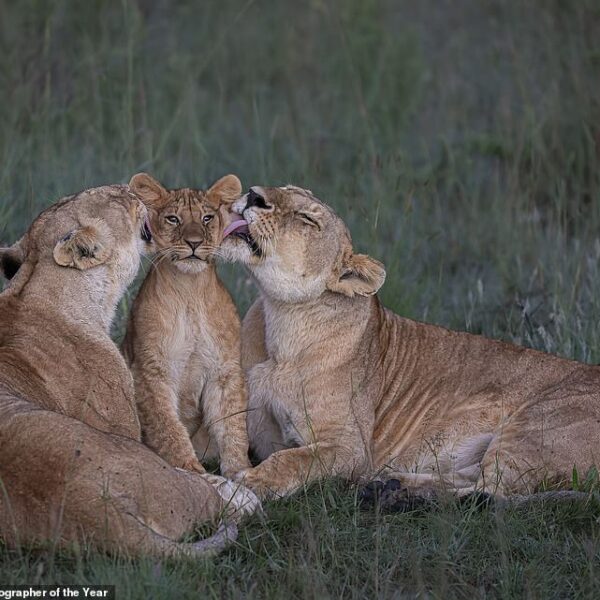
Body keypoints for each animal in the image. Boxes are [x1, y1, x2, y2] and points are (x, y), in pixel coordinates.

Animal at [122, 173, 251, 478]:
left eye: (206, 218)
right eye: (173, 219)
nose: (194, 242)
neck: (190, 292)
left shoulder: (224, 370)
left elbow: (233, 426)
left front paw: (241, 471)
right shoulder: (150, 371)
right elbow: (167, 426)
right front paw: (190, 469)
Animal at [223, 184, 600, 502]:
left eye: (307, 219)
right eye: (283, 188)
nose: (254, 195)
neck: (280, 320)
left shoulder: (350, 447)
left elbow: (293, 459)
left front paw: (251, 482)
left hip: (535, 426)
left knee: (490, 493)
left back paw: (392, 496)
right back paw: (390, 486)